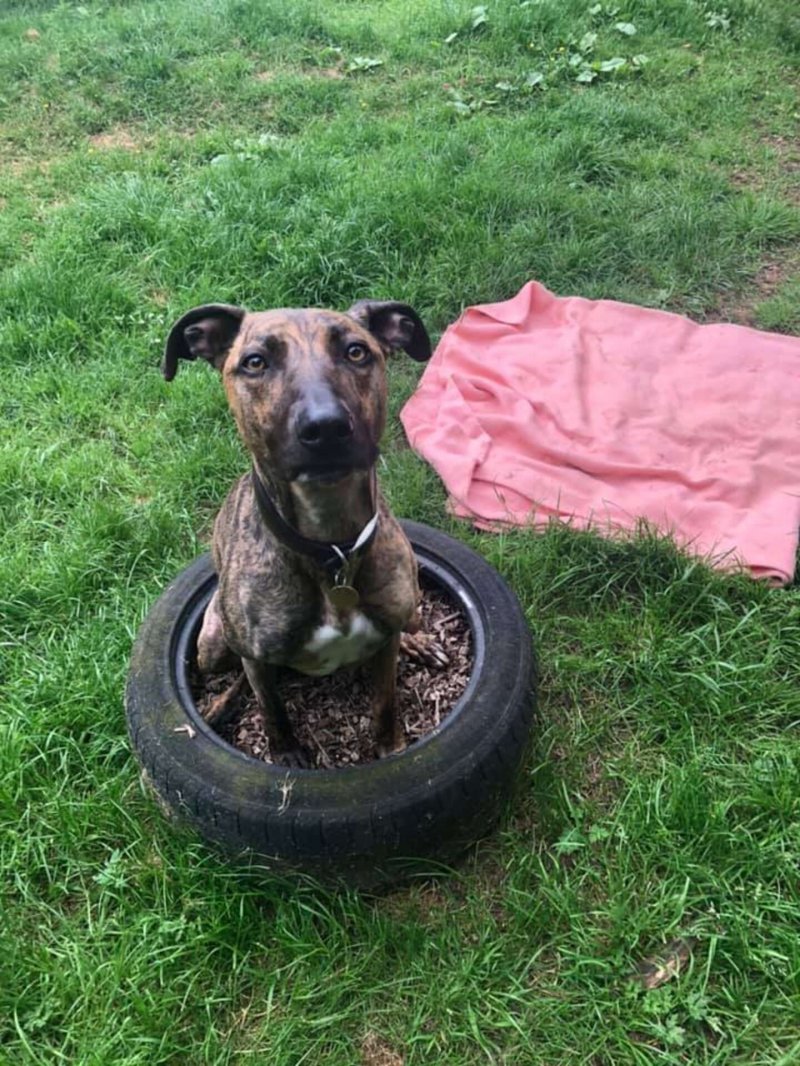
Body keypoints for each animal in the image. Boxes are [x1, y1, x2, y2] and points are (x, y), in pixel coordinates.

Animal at [163, 300, 439, 767]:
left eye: (356, 352)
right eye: (255, 362)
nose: (325, 427)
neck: (331, 546)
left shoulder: (385, 637)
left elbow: (385, 700)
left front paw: (390, 746)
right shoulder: (255, 657)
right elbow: (271, 707)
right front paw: (287, 753)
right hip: (213, 644)